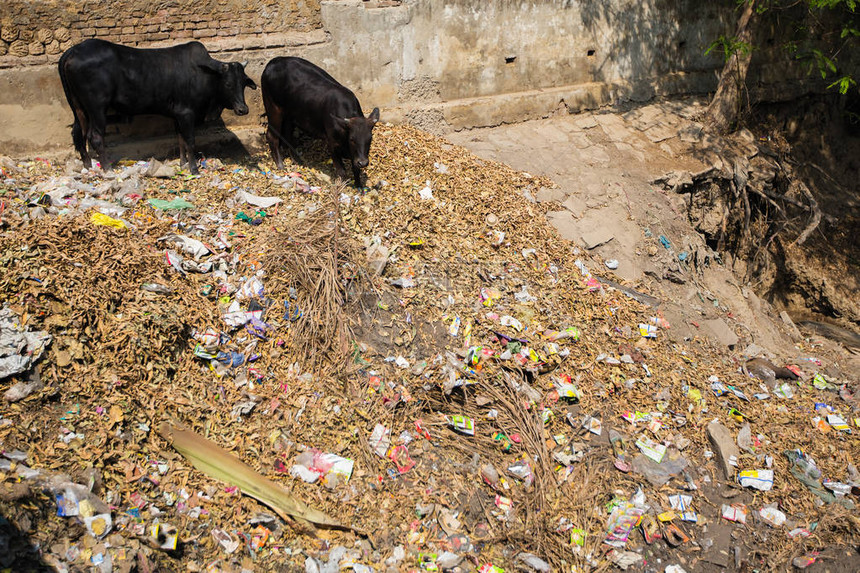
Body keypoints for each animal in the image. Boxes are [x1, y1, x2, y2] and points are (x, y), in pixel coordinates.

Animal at [58, 38, 255, 173]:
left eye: (244, 82)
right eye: (228, 84)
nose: (243, 109)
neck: (204, 74)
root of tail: (74, 50)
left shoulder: (178, 115)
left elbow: (180, 139)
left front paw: (183, 163)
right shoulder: (187, 113)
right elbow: (190, 140)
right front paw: (193, 169)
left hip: (79, 108)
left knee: (78, 133)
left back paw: (87, 165)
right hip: (97, 108)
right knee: (95, 136)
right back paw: (107, 168)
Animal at [260, 55, 378, 187]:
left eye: (370, 138)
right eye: (352, 139)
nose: (363, 162)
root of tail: (273, 62)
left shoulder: (355, 154)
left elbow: (355, 169)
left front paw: (359, 186)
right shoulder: (332, 143)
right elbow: (341, 171)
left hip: (290, 114)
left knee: (287, 136)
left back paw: (297, 159)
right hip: (273, 108)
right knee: (272, 136)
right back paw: (280, 165)